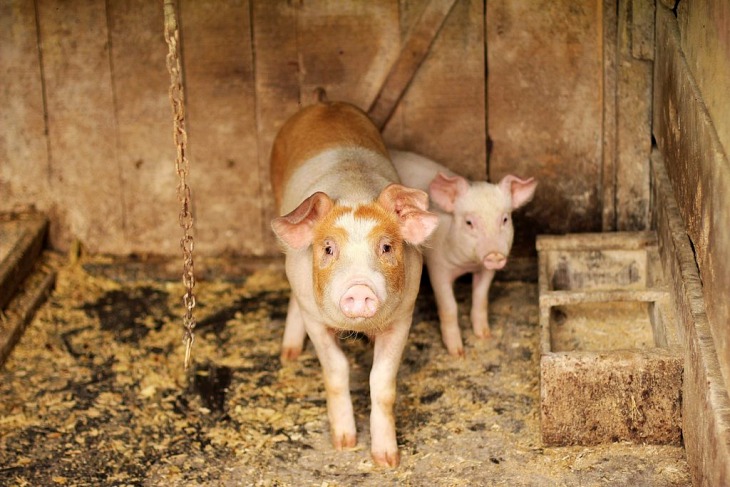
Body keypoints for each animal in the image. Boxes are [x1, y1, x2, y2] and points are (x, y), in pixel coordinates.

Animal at [270, 101, 438, 467]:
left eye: (386, 247)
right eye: (328, 248)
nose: (359, 288)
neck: (353, 191)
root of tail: (324, 103)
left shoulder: (403, 316)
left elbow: (382, 383)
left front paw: (387, 461)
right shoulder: (315, 319)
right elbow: (336, 371)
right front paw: (344, 445)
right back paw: (289, 354)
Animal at [391, 150, 537, 357]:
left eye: (505, 219)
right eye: (469, 222)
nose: (494, 254)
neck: (467, 264)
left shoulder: (486, 270)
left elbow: (481, 298)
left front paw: (484, 335)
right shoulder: (438, 267)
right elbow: (449, 306)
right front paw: (457, 352)